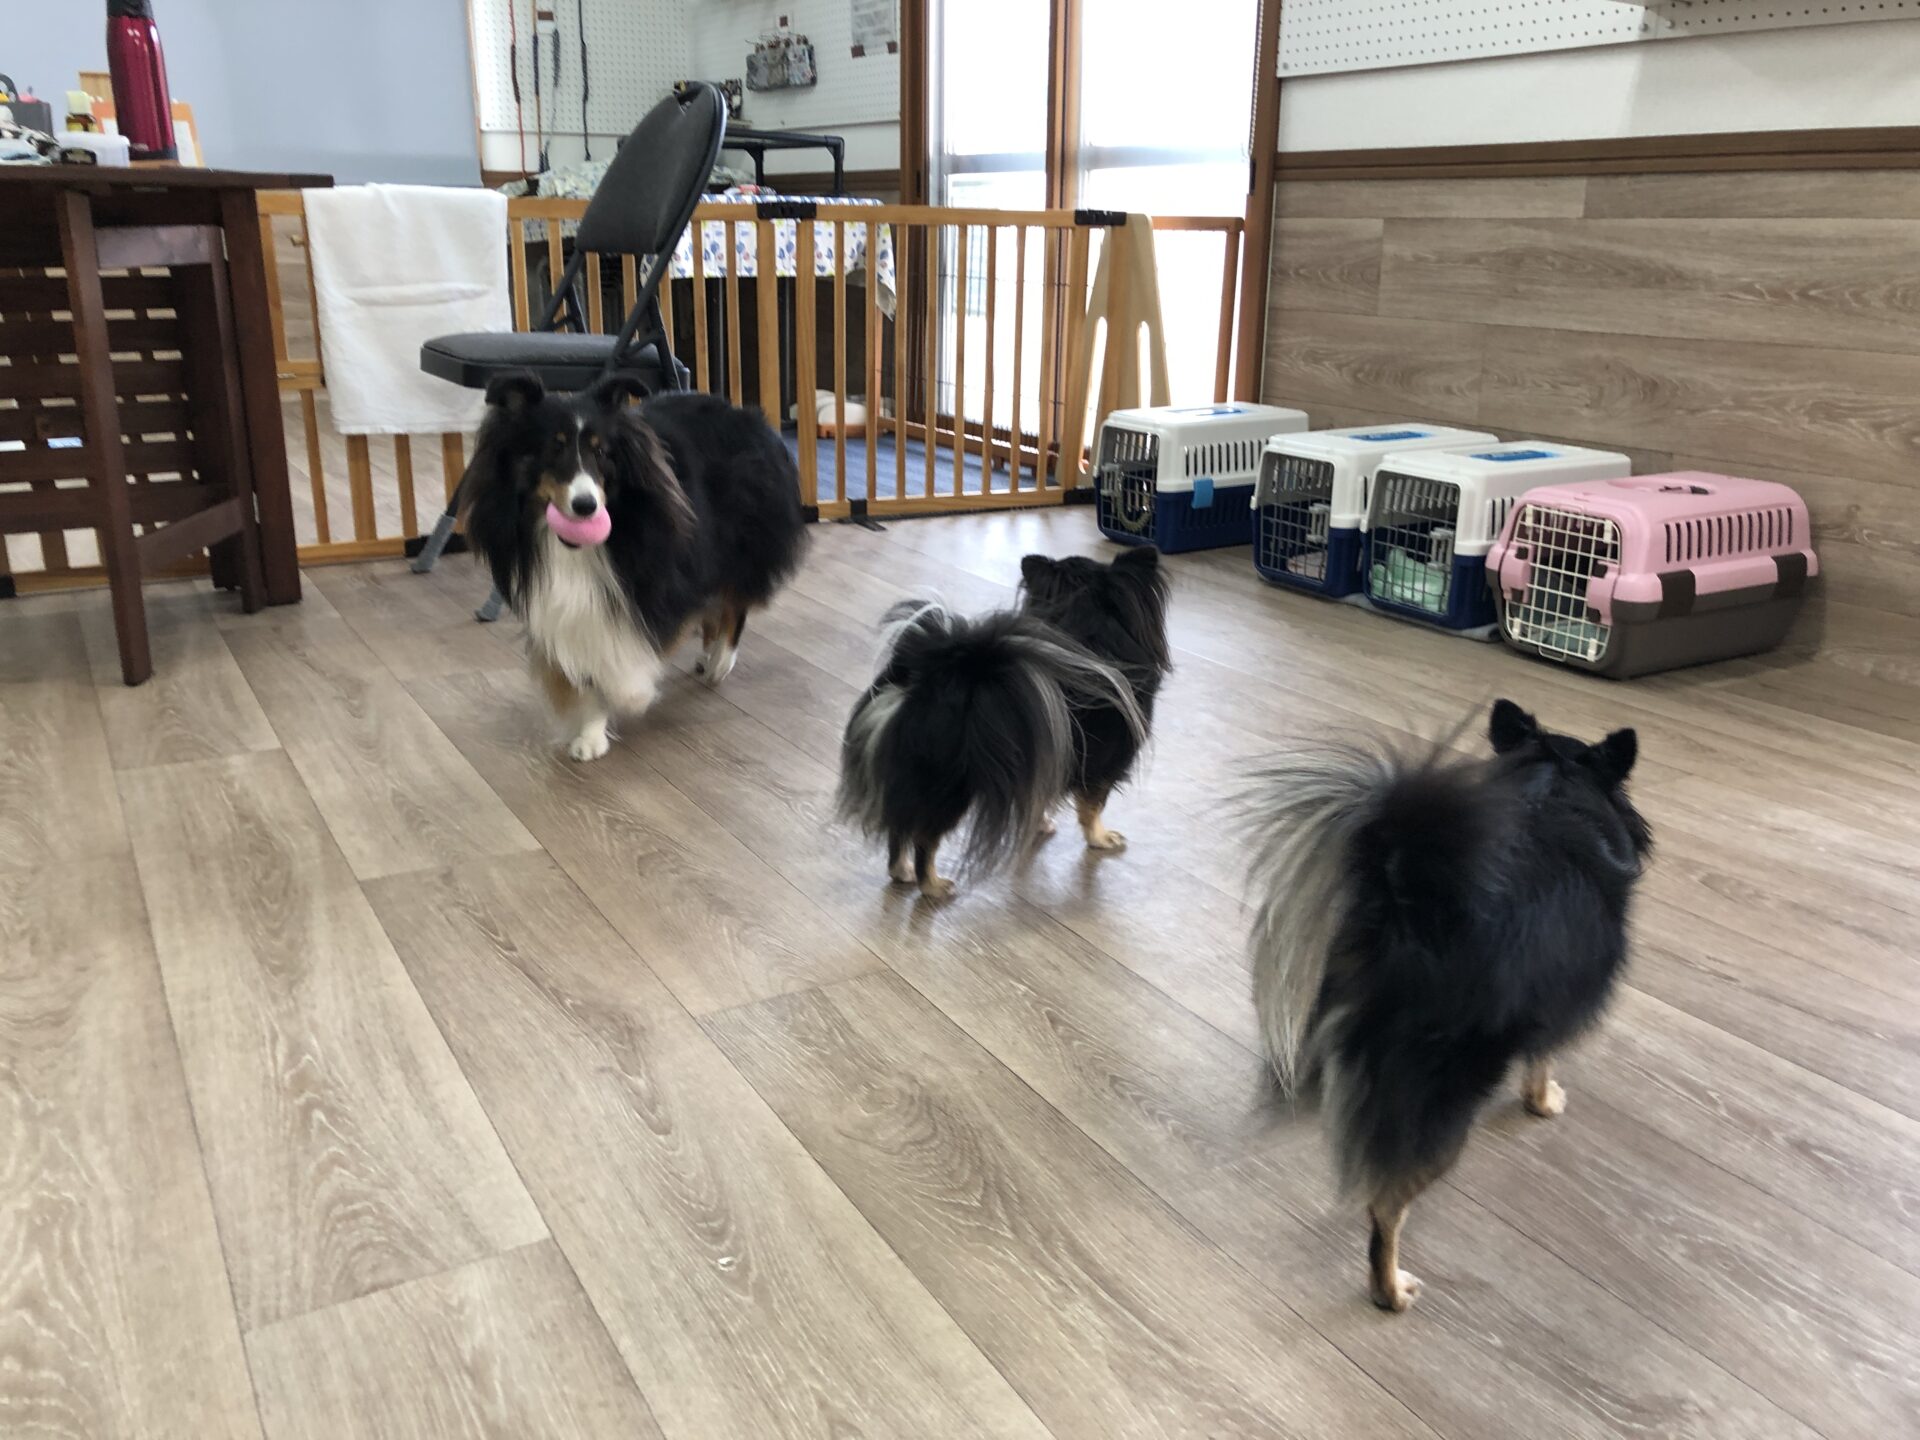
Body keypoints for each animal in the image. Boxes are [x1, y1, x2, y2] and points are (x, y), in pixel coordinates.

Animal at [460, 372, 806, 760]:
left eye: (600, 451)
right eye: (553, 448)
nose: (586, 506)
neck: (576, 551)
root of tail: (744, 411)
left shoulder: (654, 580)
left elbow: (627, 650)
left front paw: (630, 694)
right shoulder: (558, 605)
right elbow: (585, 669)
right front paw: (590, 735)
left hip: (739, 541)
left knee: (734, 602)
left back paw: (719, 662)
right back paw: (706, 656)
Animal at [836, 546, 1172, 899]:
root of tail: (930, 681)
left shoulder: (1048, 756)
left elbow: (1040, 796)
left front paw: (1041, 824)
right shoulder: (1100, 767)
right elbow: (1092, 809)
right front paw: (1101, 839)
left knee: (900, 825)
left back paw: (902, 872)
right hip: (949, 788)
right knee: (924, 837)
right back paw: (933, 885)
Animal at [1246, 699, 1651, 1312]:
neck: (1553, 788)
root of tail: (1402, 918)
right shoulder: (1553, 1007)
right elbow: (1542, 1060)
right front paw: (1544, 1101)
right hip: (1446, 1091)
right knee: (1386, 1206)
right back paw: (1391, 1290)